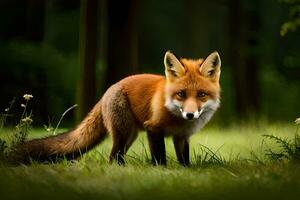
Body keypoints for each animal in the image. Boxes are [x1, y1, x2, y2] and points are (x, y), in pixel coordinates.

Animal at [11, 51, 220, 166]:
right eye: (181, 94)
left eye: (201, 94)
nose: (190, 114)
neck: (177, 118)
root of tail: (107, 91)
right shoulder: (153, 128)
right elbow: (159, 157)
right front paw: (162, 172)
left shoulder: (182, 137)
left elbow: (184, 160)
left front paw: (185, 171)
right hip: (123, 133)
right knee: (113, 158)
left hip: (130, 135)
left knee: (115, 157)